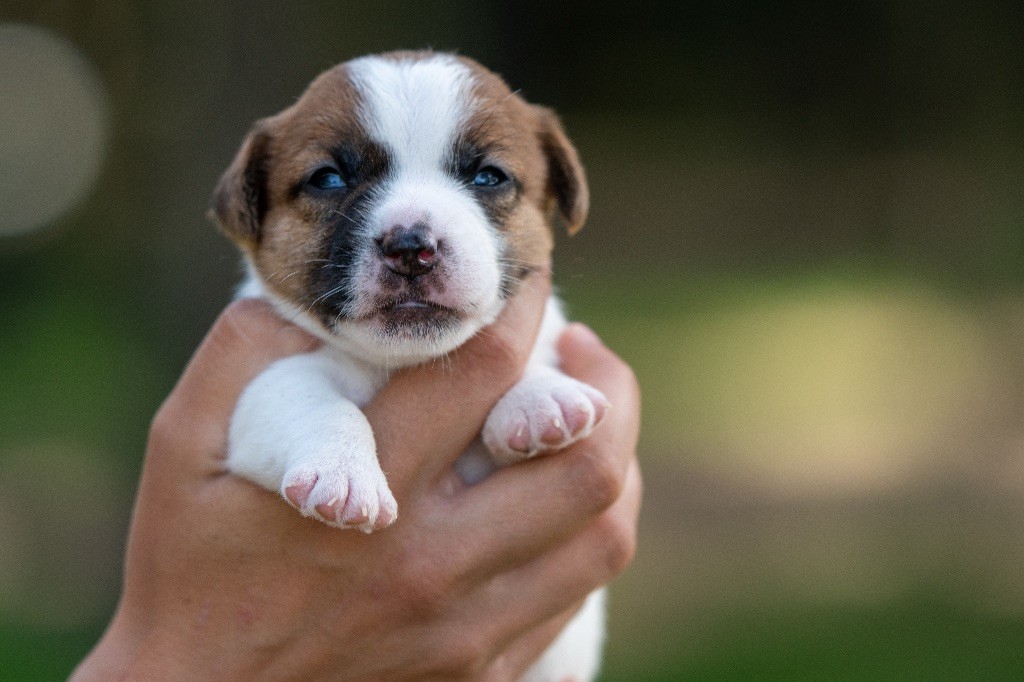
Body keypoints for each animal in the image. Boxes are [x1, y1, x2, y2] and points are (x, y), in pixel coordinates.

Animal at [208, 50, 606, 675]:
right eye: (329, 178)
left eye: (488, 176)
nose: (411, 246)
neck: (401, 362)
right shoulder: (261, 387)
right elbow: (311, 400)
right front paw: (343, 472)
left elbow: (532, 361)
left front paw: (540, 397)